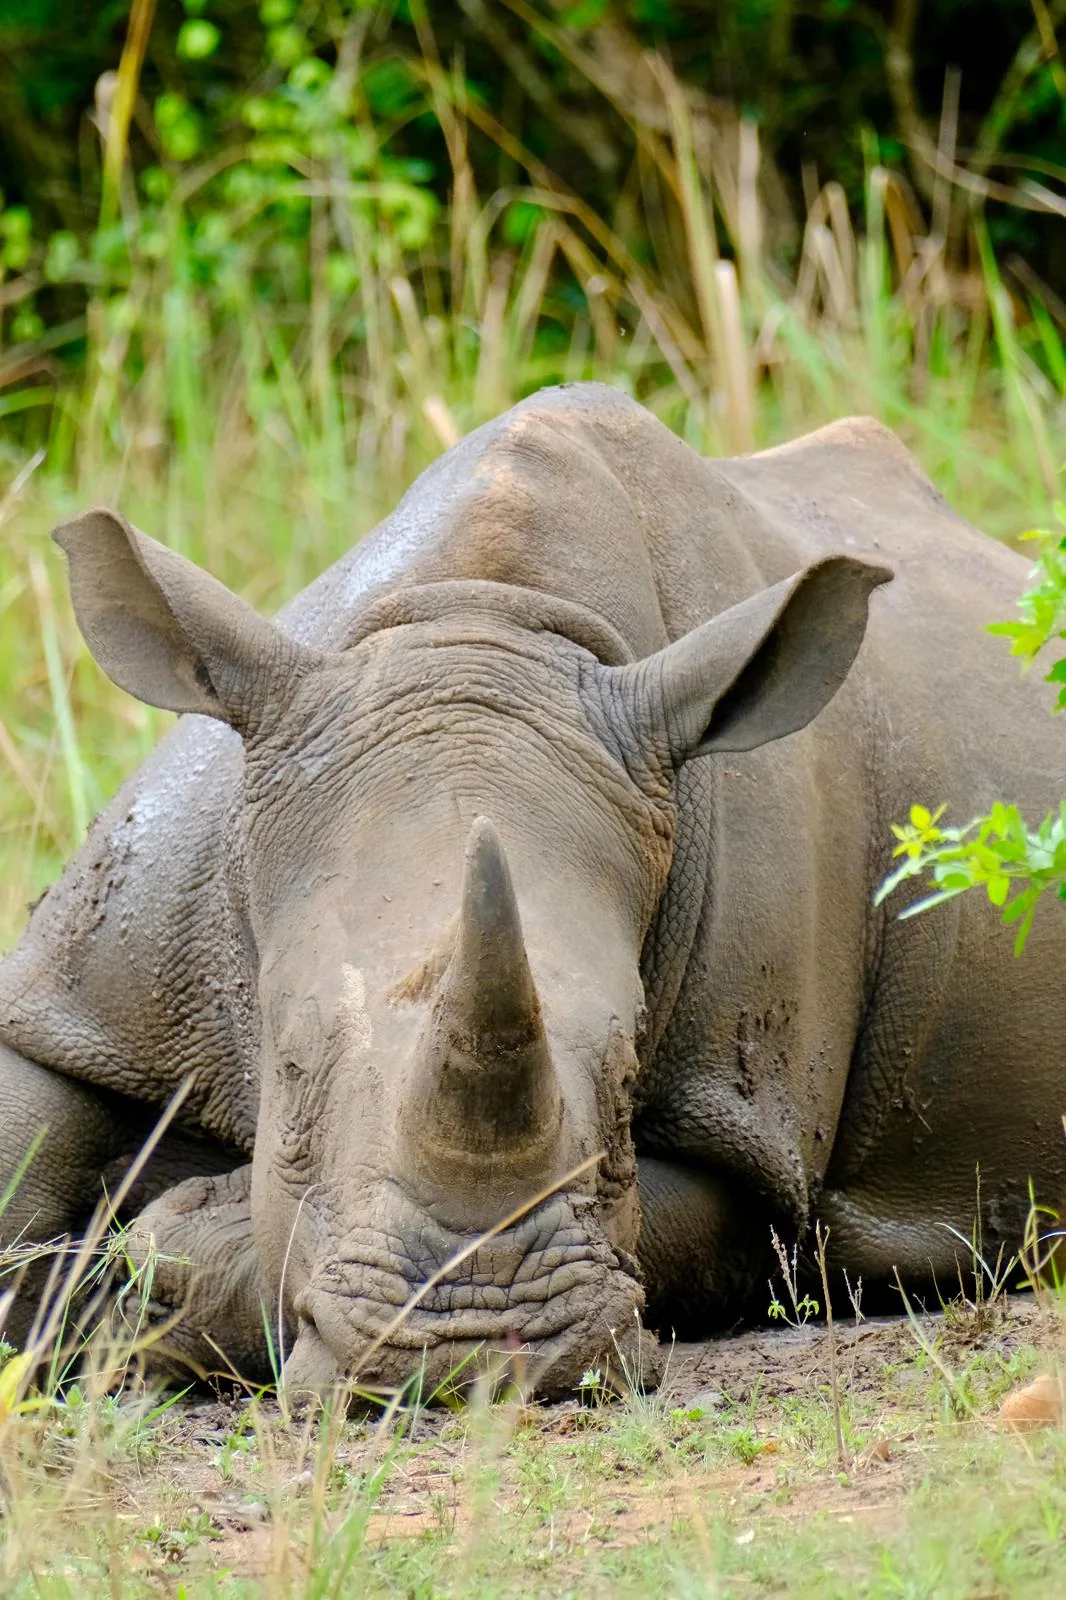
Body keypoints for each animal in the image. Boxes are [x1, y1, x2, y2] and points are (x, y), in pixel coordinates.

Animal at [1, 383, 1062, 1396]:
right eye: (288, 1066)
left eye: (630, 1076)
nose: (473, 1351)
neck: (478, 618)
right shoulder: (91, 983)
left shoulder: (749, 1141)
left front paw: (146, 1277)